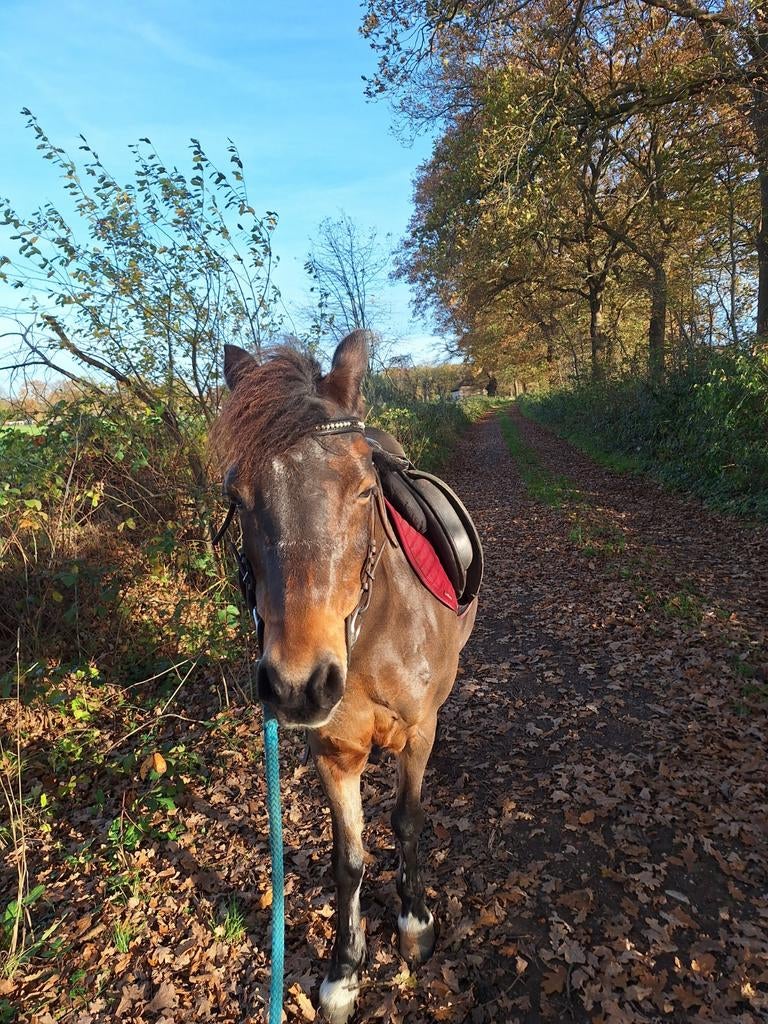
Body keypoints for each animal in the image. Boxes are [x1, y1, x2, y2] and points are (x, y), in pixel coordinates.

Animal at [210, 330, 478, 1023]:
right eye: (237, 498)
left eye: (362, 489)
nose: (299, 685)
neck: (370, 638)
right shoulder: (332, 752)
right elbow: (348, 860)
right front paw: (344, 970)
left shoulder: (419, 731)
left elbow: (407, 820)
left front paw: (413, 924)